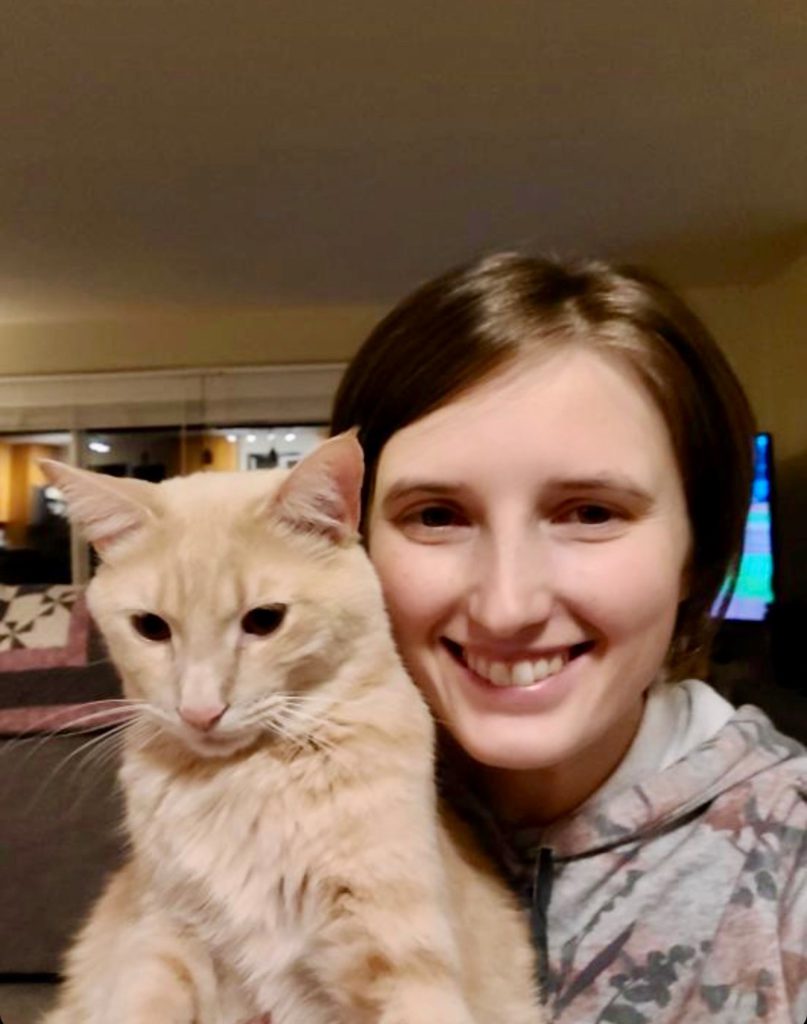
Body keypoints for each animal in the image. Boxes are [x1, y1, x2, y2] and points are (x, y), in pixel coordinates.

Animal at [37, 436, 540, 1024]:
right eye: (151, 628)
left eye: (264, 620)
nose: (200, 711)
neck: (244, 782)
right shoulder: (165, 938)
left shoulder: (403, 962)